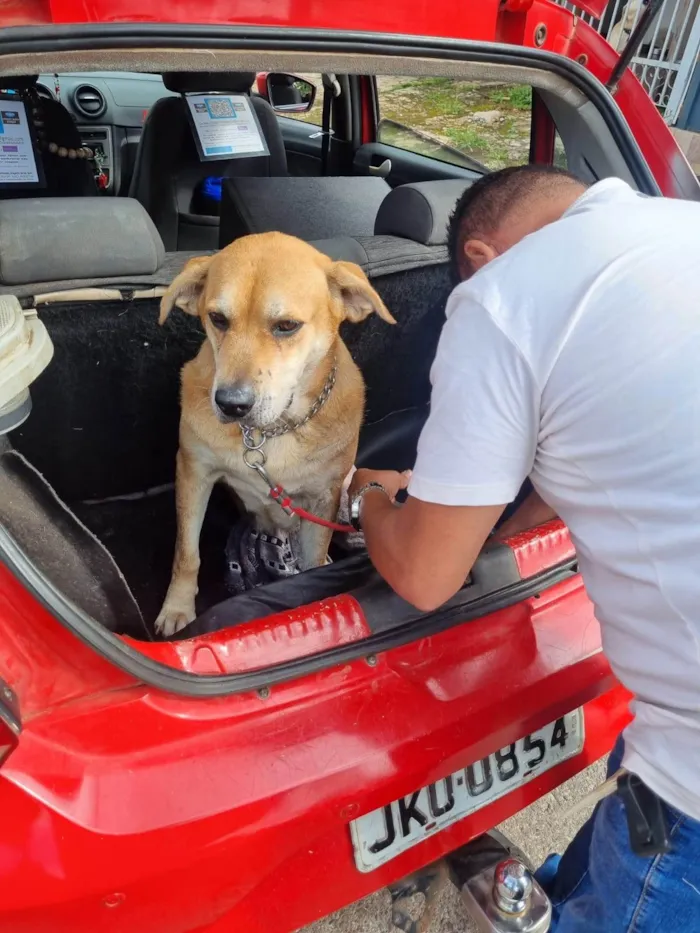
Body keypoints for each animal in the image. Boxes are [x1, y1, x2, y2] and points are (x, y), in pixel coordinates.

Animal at [157, 232, 394, 632]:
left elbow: (313, 565)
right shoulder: (193, 472)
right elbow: (186, 552)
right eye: (217, 318)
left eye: (287, 325)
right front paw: (177, 608)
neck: (272, 431)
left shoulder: (324, 497)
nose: (231, 404)